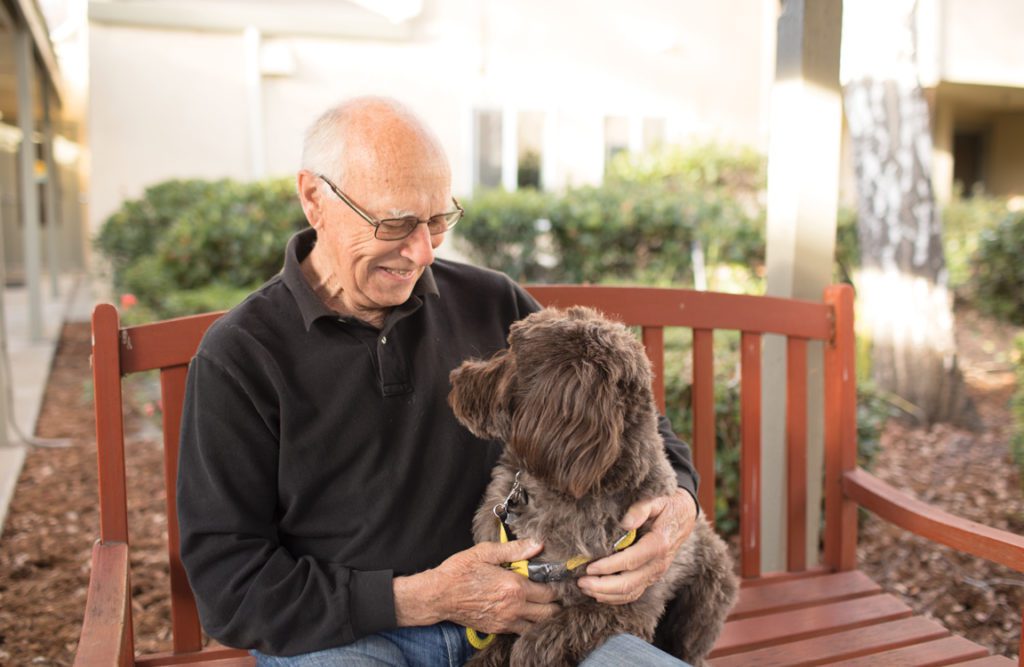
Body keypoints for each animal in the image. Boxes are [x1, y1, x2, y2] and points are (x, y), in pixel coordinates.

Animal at [448, 307, 737, 667]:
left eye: (513, 355)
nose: (456, 377)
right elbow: (497, 638)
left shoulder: (625, 603)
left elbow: (546, 638)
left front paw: (528, 650)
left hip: (703, 601)